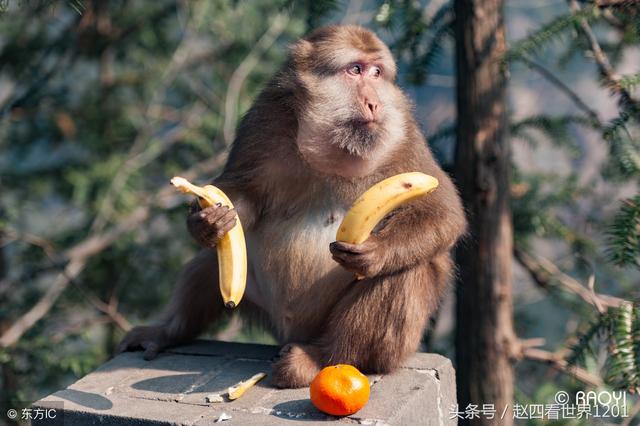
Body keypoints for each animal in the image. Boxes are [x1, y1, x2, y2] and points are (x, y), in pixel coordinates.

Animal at [119, 25, 464, 388]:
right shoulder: (264, 117)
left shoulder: (404, 130)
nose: (374, 102)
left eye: (377, 73)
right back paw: (169, 331)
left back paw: (319, 360)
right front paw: (206, 221)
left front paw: (377, 252)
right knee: (211, 260)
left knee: (405, 271)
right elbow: (244, 195)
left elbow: (444, 211)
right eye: (355, 69)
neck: (333, 146)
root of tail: (291, 333)